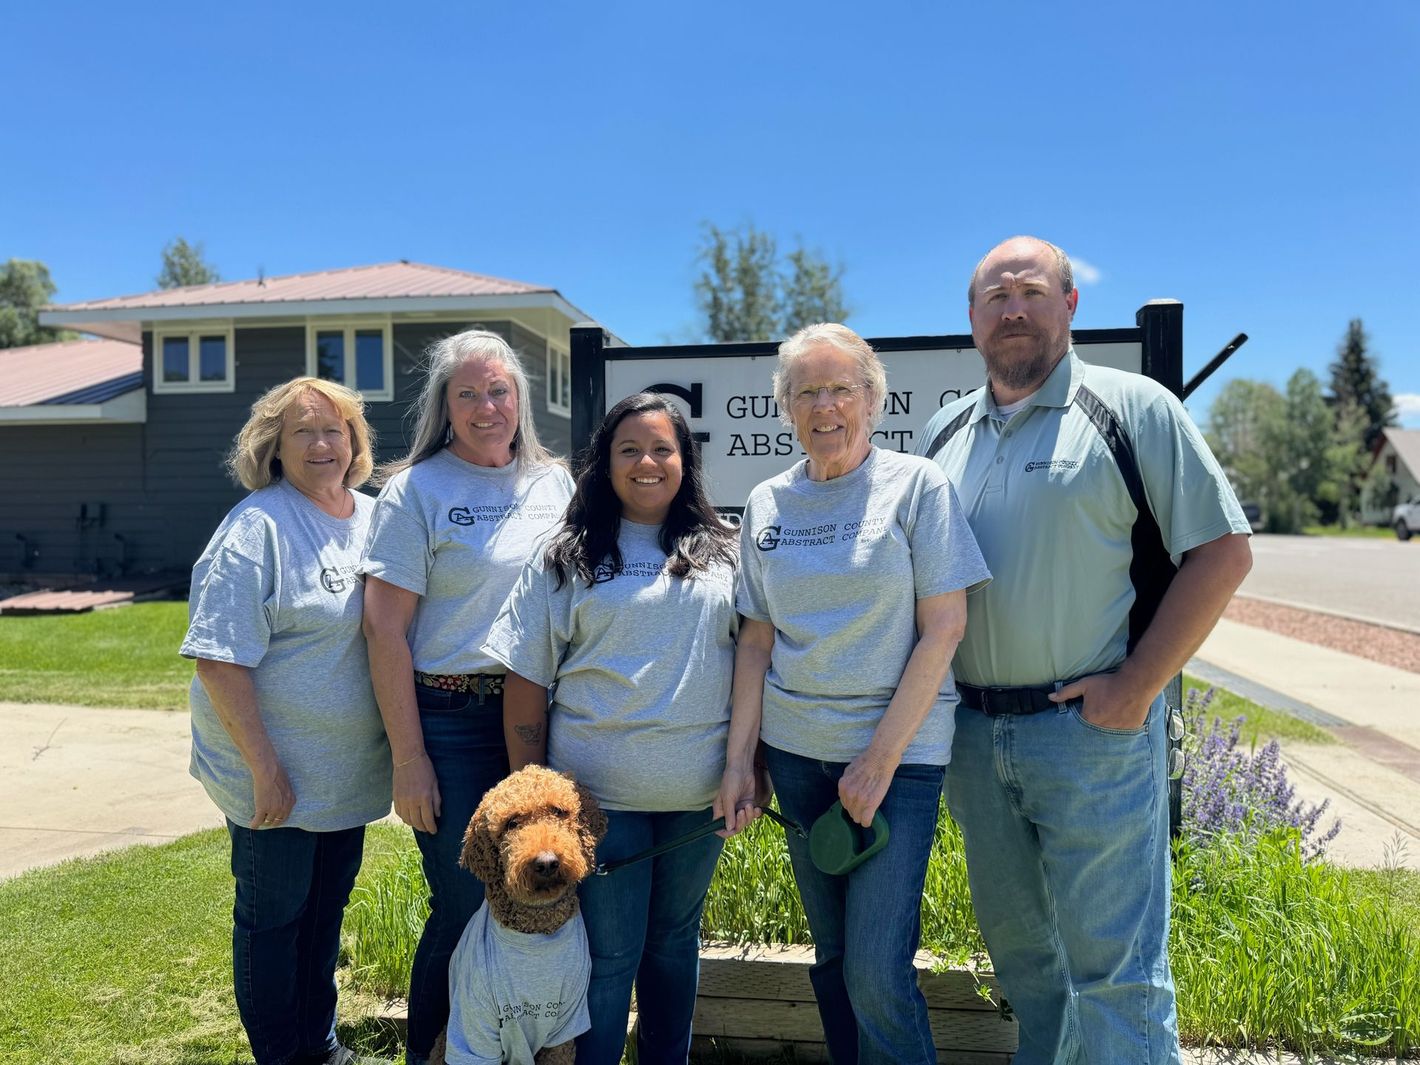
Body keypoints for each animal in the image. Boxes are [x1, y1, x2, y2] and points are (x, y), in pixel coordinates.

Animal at [431, 766, 610, 1065]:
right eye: (512, 823)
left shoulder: (565, 1025)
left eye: (559, 811)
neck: (536, 932)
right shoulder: (476, 1027)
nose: (547, 863)